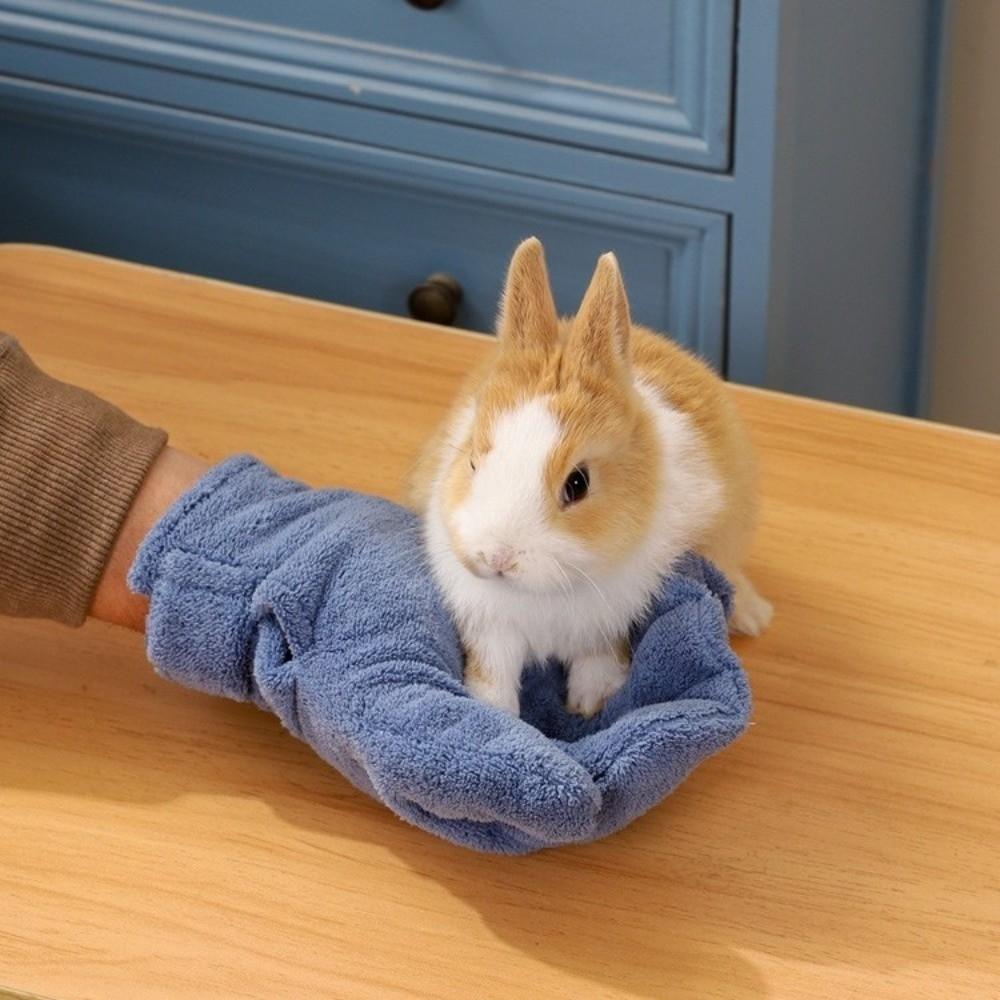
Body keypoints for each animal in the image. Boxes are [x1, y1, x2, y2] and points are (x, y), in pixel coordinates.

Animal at [408, 238, 771, 716]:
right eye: (472, 460)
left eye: (577, 484)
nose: (498, 558)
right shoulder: (491, 627)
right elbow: (493, 672)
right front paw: (494, 712)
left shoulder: (609, 624)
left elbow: (600, 658)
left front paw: (590, 706)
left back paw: (753, 616)